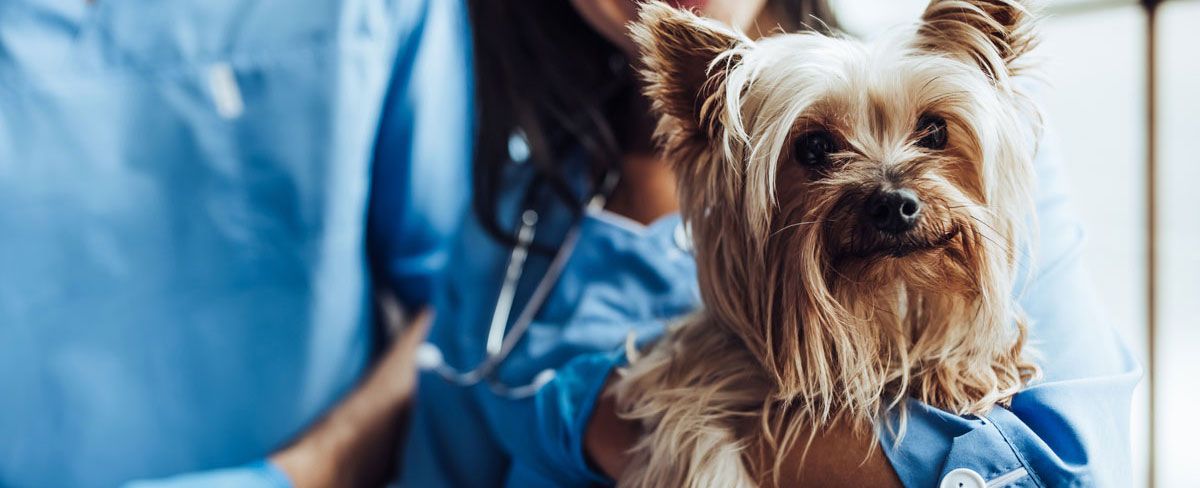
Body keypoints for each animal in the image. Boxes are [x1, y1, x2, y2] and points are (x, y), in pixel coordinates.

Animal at [614, 0, 1046, 484]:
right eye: (814, 147)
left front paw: (962, 366)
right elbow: (695, 444)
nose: (894, 204)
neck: (875, 300)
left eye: (934, 131)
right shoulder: (686, 382)